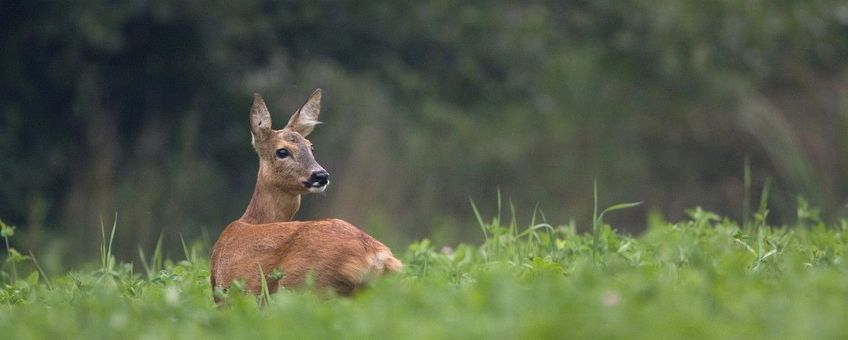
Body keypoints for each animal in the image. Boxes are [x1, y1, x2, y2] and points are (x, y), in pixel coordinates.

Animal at [209, 89, 400, 302]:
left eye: (311, 147)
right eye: (282, 151)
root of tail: (374, 259)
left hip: (305, 284)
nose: (321, 175)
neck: (250, 220)